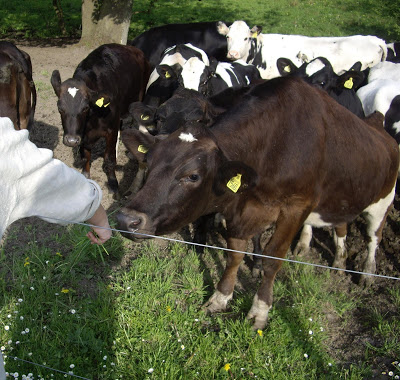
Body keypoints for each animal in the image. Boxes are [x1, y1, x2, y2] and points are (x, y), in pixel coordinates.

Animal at [50, 43, 150, 194]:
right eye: (60, 108)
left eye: (85, 108)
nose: (71, 140)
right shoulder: (83, 134)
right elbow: (85, 157)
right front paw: (86, 177)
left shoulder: (111, 130)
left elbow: (109, 158)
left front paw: (113, 183)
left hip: (140, 95)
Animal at [115, 77, 396, 330]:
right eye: (149, 162)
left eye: (193, 176)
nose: (126, 219)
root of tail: (376, 122)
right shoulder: (241, 209)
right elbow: (235, 253)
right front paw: (220, 297)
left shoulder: (296, 206)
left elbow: (272, 258)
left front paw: (259, 311)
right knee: (339, 225)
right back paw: (334, 258)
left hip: (382, 202)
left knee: (373, 236)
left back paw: (368, 272)